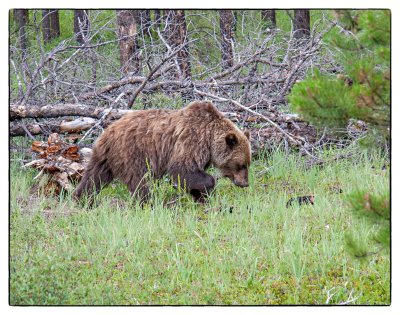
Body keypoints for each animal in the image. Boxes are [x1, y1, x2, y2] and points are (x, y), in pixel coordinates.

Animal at [74, 101, 252, 205]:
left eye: (247, 163)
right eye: (241, 164)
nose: (245, 183)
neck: (209, 138)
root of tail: (107, 132)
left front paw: (200, 197)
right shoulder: (192, 140)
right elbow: (182, 169)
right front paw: (207, 189)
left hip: (103, 157)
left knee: (93, 177)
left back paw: (81, 198)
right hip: (133, 153)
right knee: (141, 181)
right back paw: (148, 203)